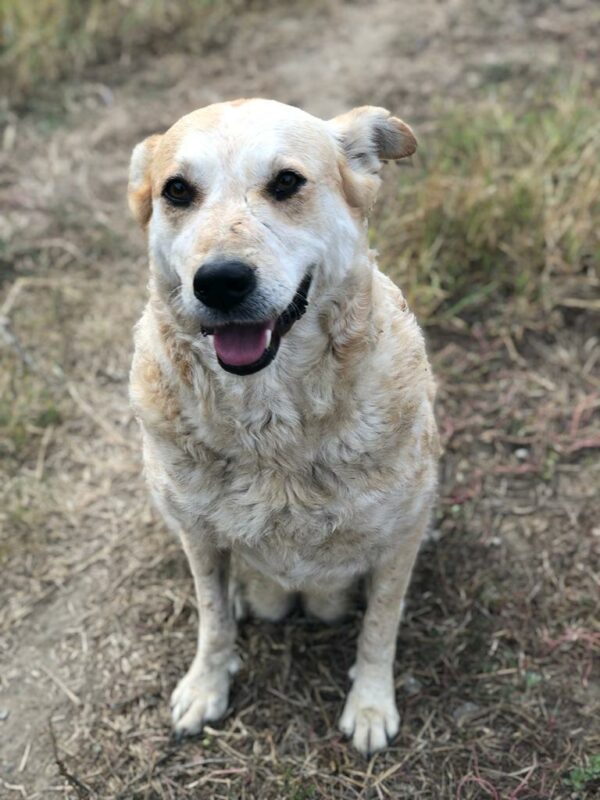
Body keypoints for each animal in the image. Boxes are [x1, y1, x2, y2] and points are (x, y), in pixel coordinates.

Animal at [127, 100, 440, 756]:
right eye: (176, 191)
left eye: (287, 182)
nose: (220, 281)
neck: (272, 429)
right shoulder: (197, 536)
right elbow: (212, 617)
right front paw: (207, 685)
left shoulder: (401, 537)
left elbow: (381, 626)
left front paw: (371, 703)